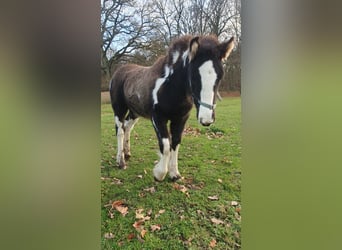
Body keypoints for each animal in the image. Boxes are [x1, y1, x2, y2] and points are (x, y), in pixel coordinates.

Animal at [109, 34, 235, 182]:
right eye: (194, 76)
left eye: (220, 76)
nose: (207, 119)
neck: (170, 87)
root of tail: (119, 72)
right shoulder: (157, 118)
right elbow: (165, 145)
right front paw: (159, 174)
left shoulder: (181, 118)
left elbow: (175, 142)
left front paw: (174, 174)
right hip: (119, 109)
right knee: (120, 131)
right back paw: (121, 161)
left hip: (135, 112)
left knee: (127, 127)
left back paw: (127, 153)